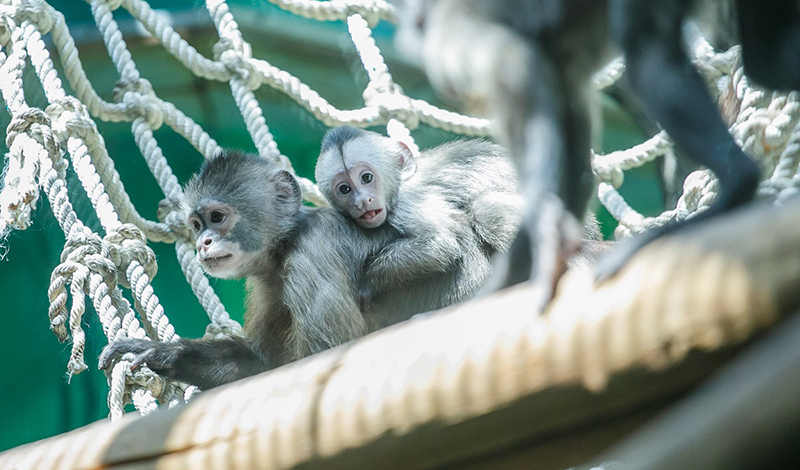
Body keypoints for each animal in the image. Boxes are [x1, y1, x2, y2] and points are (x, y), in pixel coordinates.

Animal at [312, 126, 524, 306]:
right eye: (344, 189)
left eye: (366, 178)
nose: (362, 201)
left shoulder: (408, 201)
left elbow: (439, 244)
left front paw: (366, 284)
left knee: (484, 208)